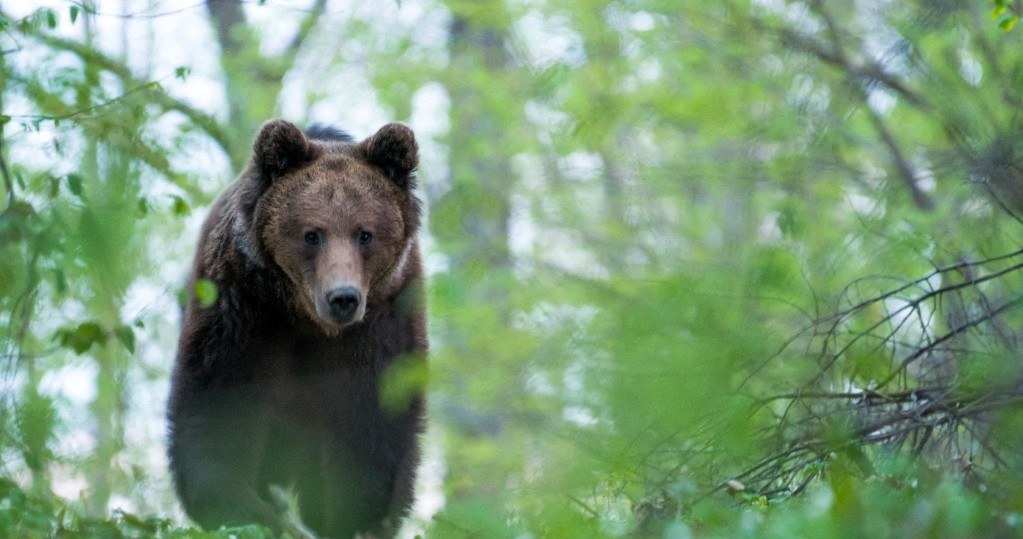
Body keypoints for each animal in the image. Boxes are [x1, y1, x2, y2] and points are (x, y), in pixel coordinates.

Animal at [167, 119, 427, 539]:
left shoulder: (381, 326)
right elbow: (219, 413)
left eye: (365, 234)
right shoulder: (243, 311)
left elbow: (372, 431)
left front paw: (355, 519)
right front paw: (247, 511)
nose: (343, 297)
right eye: (312, 234)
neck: (306, 320)